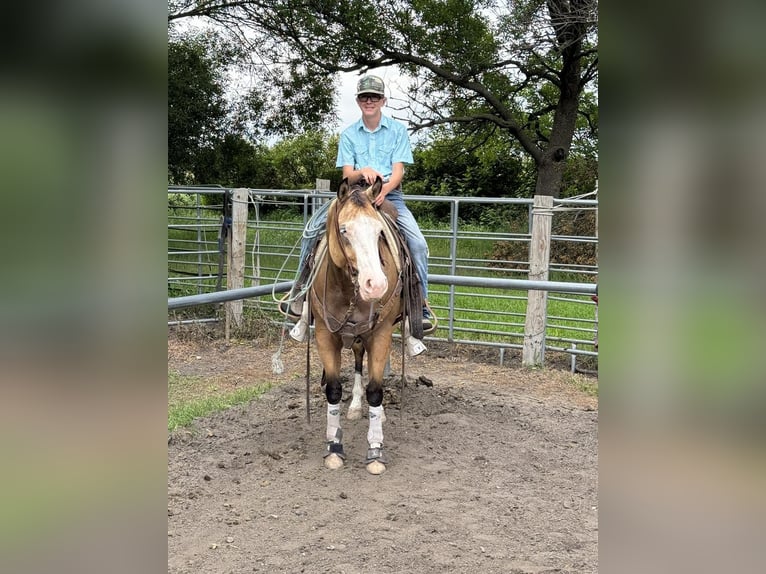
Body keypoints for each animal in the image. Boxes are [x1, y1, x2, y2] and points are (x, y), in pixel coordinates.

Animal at [310, 177, 412, 476]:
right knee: (357, 358)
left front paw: (375, 452)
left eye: (379, 232)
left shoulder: (380, 332)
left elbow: (376, 391)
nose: (375, 285)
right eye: (344, 230)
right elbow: (333, 389)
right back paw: (355, 406)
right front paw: (334, 448)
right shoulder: (324, 335)